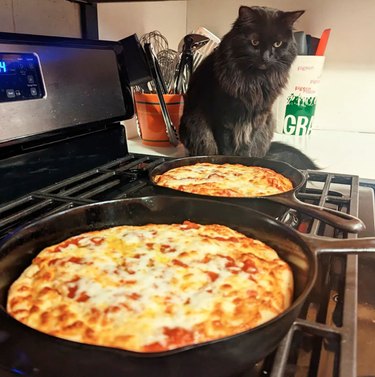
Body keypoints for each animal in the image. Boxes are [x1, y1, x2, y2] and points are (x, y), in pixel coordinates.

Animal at [179, 5, 318, 169]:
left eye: (277, 44)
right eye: (254, 42)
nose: (266, 57)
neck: (254, 80)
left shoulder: (257, 117)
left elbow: (247, 144)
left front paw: (246, 160)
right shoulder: (223, 117)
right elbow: (225, 146)